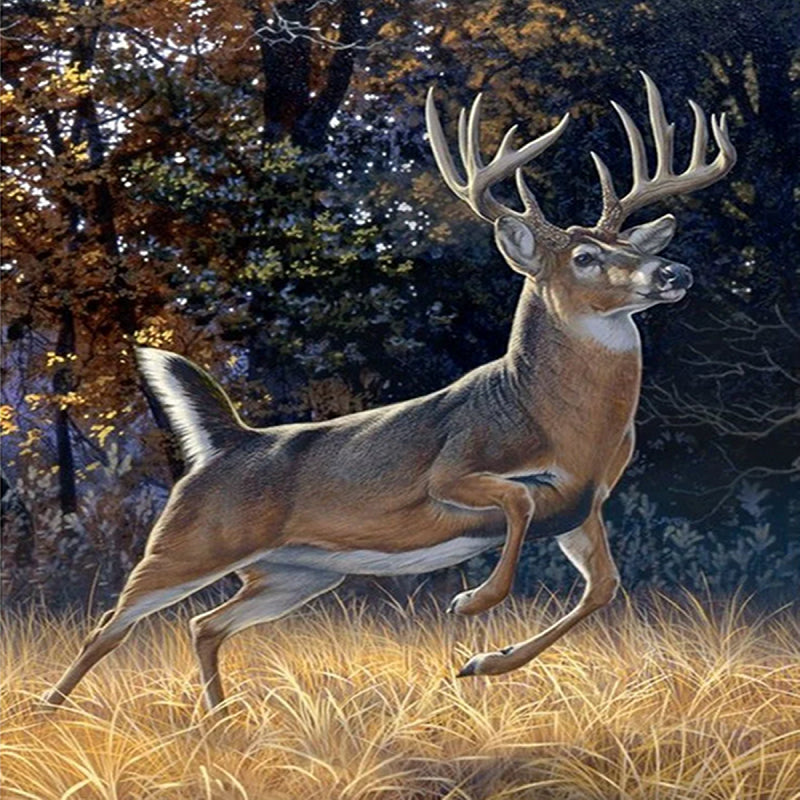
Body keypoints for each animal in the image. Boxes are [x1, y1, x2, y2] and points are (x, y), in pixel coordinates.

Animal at [42, 73, 735, 712]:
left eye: (628, 244)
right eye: (586, 257)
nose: (674, 271)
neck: (555, 421)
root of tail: (227, 441)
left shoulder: (582, 507)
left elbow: (603, 588)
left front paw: (485, 662)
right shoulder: (453, 471)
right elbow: (516, 501)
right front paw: (472, 601)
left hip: (296, 573)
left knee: (204, 624)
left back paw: (220, 721)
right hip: (189, 540)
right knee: (110, 625)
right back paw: (49, 711)